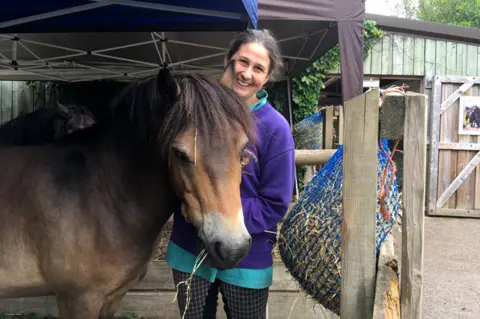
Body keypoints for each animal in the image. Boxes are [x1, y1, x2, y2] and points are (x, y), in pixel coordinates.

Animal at [0, 69, 255, 318]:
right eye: (180, 153)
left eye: (243, 149)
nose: (233, 248)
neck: (104, 196)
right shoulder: (77, 300)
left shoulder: (112, 298)